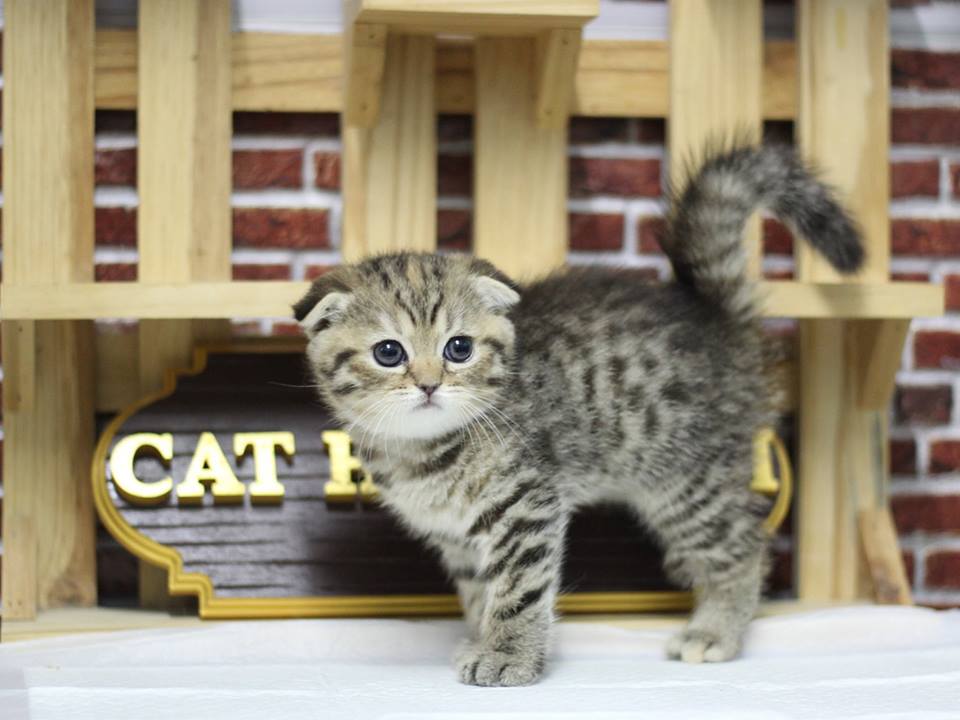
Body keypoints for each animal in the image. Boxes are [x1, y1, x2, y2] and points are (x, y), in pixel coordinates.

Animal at [292, 145, 864, 688]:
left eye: (459, 348)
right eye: (389, 353)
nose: (430, 383)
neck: (422, 450)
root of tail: (715, 317)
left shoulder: (526, 503)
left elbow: (518, 589)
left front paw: (509, 655)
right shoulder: (456, 536)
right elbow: (480, 591)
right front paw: (481, 637)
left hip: (687, 482)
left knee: (743, 546)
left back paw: (714, 631)